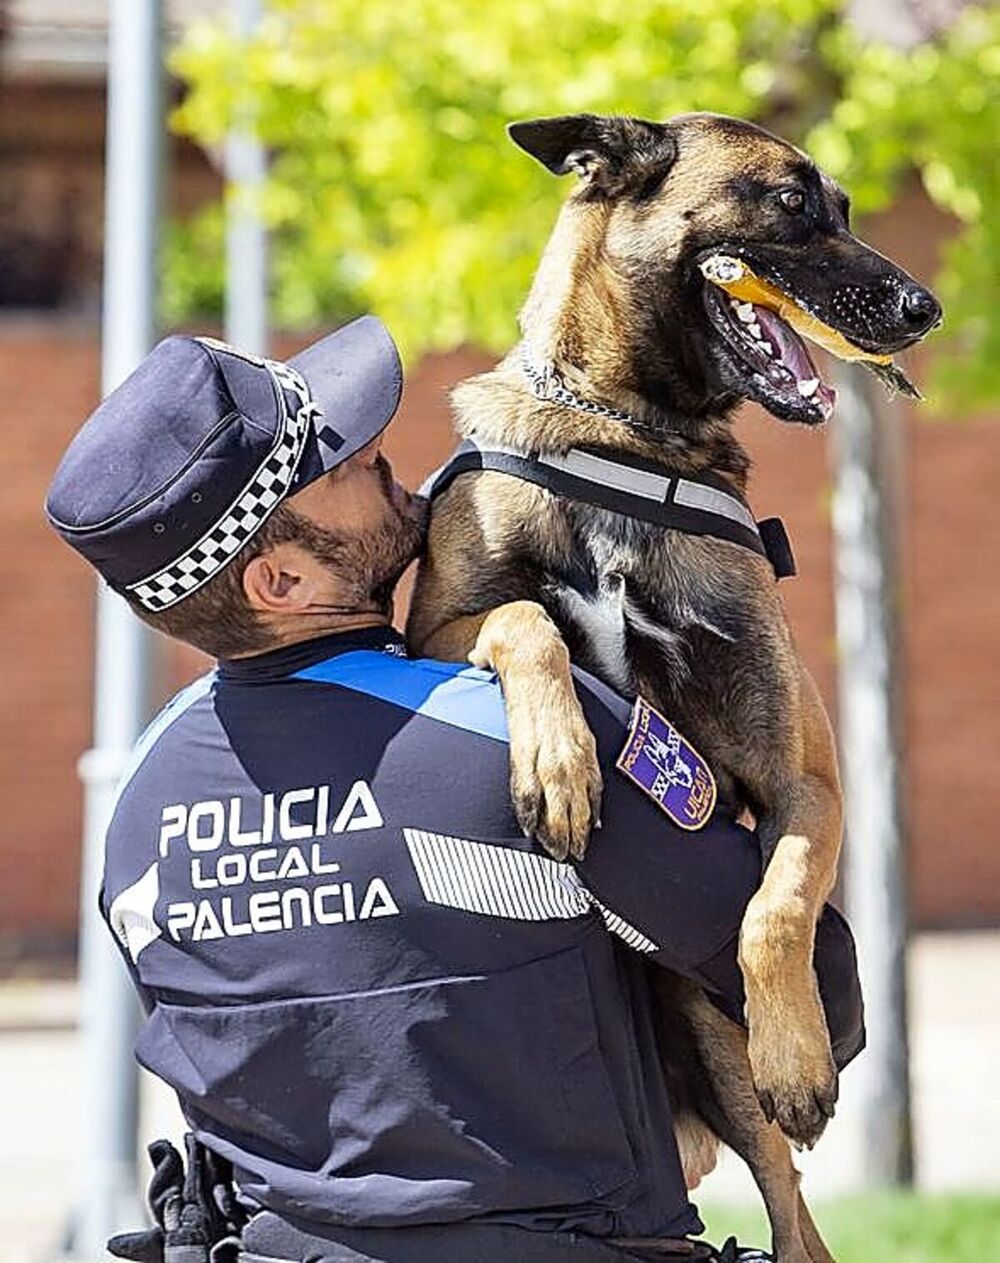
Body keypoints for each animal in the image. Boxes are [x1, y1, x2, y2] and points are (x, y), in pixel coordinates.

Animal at [404, 113, 939, 1257]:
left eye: (846, 207)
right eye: (791, 202)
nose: (926, 310)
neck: (626, 438)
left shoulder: (806, 784)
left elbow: (775, 908)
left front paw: (799, 1052)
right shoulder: (432, 632)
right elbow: (527, 620)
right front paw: (559, 767)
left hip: (718, 1053)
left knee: (792, 1215)